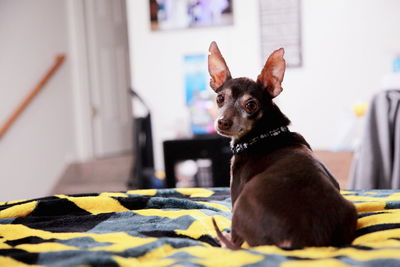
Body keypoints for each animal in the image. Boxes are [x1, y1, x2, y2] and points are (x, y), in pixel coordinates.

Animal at [209, 41, 356, 249]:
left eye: (251, 105)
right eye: (220, 98)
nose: (223, 122)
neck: (264, 134)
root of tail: (298, 242)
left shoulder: (235, 190)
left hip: (241, 203)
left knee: (236, 242)